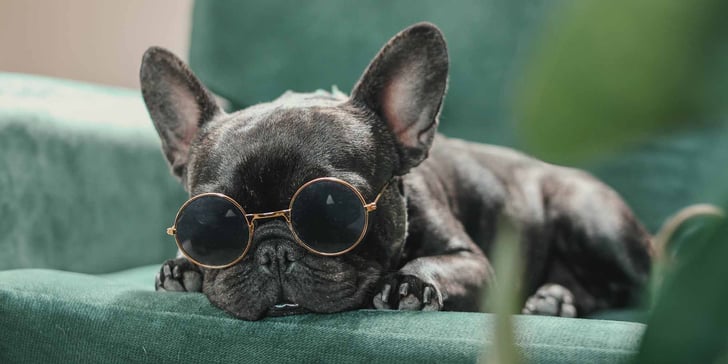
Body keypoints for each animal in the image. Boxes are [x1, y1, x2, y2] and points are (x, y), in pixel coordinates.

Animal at [139, 22, 652, 320]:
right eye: (209, 225)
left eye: (334, 212)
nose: (273, 252)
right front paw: (184, 267)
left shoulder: (474, 262)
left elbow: (436, 264)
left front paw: (410, 282)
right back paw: (556, 298)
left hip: (592, 220)